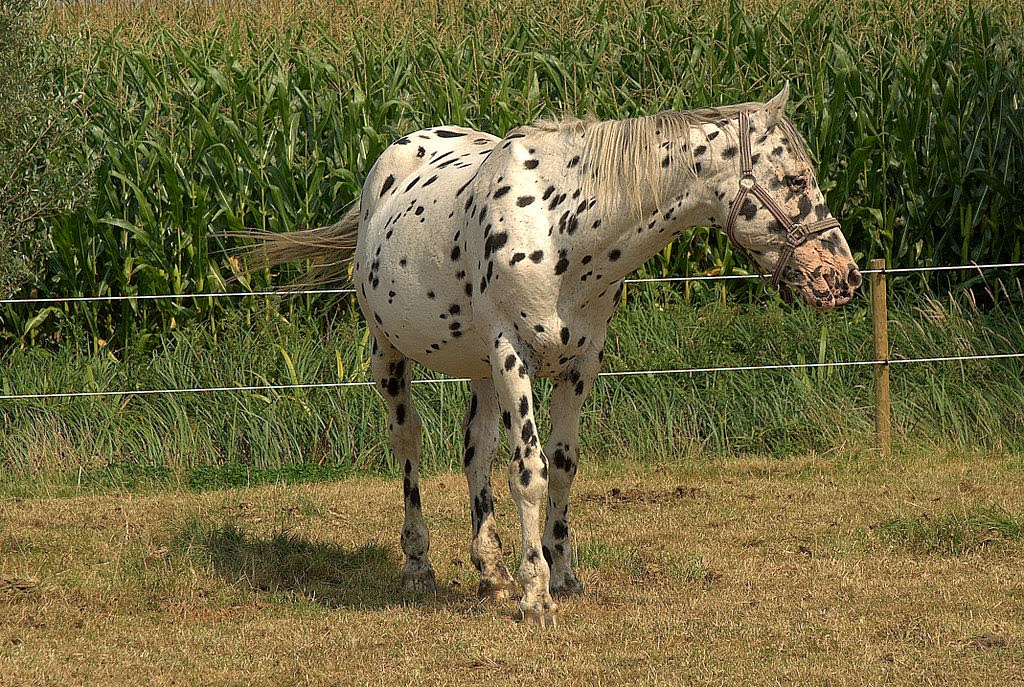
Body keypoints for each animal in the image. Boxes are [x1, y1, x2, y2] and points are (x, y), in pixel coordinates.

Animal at [246, 84, 861, 626]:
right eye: (796, 178)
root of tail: (386, 167)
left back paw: (491, 572)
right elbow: (530, 472)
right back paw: (419, 564)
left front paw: (560, 575)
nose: (844, 277)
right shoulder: (512, 355)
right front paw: (536, 597)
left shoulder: (581, 363)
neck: (559, 224)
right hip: (391, 353)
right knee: (408, 442)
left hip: (480, 370)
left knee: (474, 449)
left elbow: (562, 466)